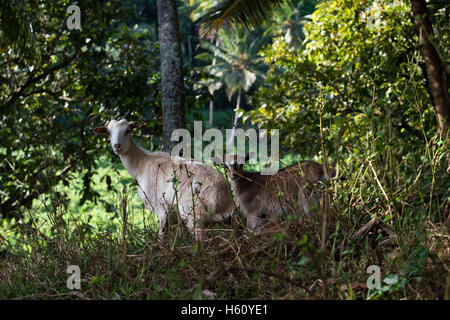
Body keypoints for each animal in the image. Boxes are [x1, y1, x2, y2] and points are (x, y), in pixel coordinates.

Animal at [95, 119, 236, 241]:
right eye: (108, 132)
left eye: (128, 130)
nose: (117, 146)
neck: (141, 165)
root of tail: (226, 201)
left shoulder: (160, 207)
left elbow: (162, 236)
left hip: (193, 213)